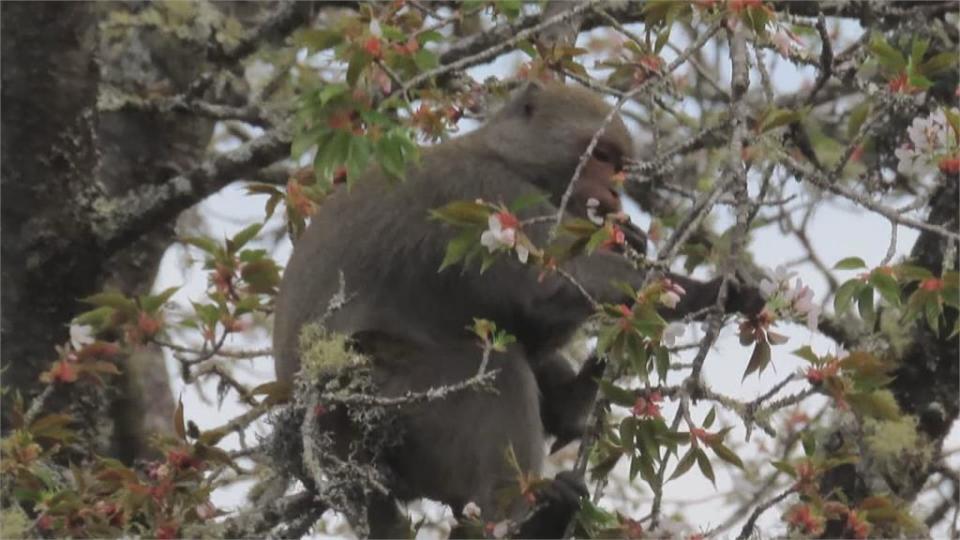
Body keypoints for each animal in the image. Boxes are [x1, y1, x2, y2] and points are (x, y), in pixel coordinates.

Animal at [274, 82, 760, 536]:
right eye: (601, 156)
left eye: (618, 165)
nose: (613, 195)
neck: (504, 156)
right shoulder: (489, 193)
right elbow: (542, 296)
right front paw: (705, 291)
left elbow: (525, 320)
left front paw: (634, 244)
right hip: (381, 397)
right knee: (496, 367)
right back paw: (526, 521)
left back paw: (573, 405)